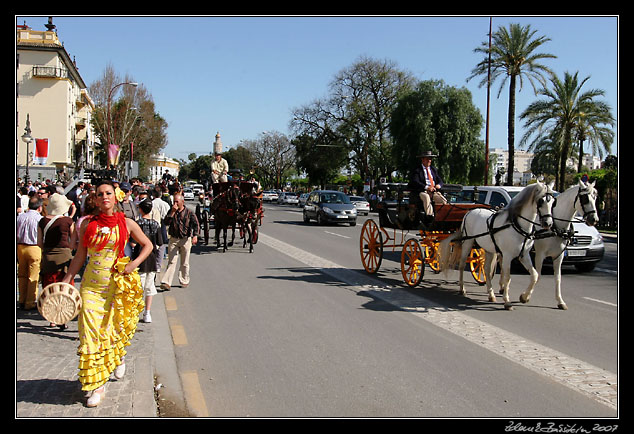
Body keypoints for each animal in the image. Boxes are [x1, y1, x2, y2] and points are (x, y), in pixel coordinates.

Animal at [440, 181, 552, 310]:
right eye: (541, 201)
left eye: (553, 202)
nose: (548, 223)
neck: (517, 225)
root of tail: (470, 211)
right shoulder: (507, 256)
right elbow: (507, 277)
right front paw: (507, 301)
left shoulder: (524, 255)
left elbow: (534, 275)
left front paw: (524, 297)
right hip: (468, 242)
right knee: (462, 265)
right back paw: (462, 289)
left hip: (489, 249)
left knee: (487, 270)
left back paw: (491, 294)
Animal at [520, 178, 596, 310]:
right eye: (585, 198)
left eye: (595, 197)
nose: (594, 219)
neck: (555, 226)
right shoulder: (540, 255)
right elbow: (538, 275)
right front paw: (526, 296)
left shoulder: (558, 256)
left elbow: (558, 278)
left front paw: (560, 301)